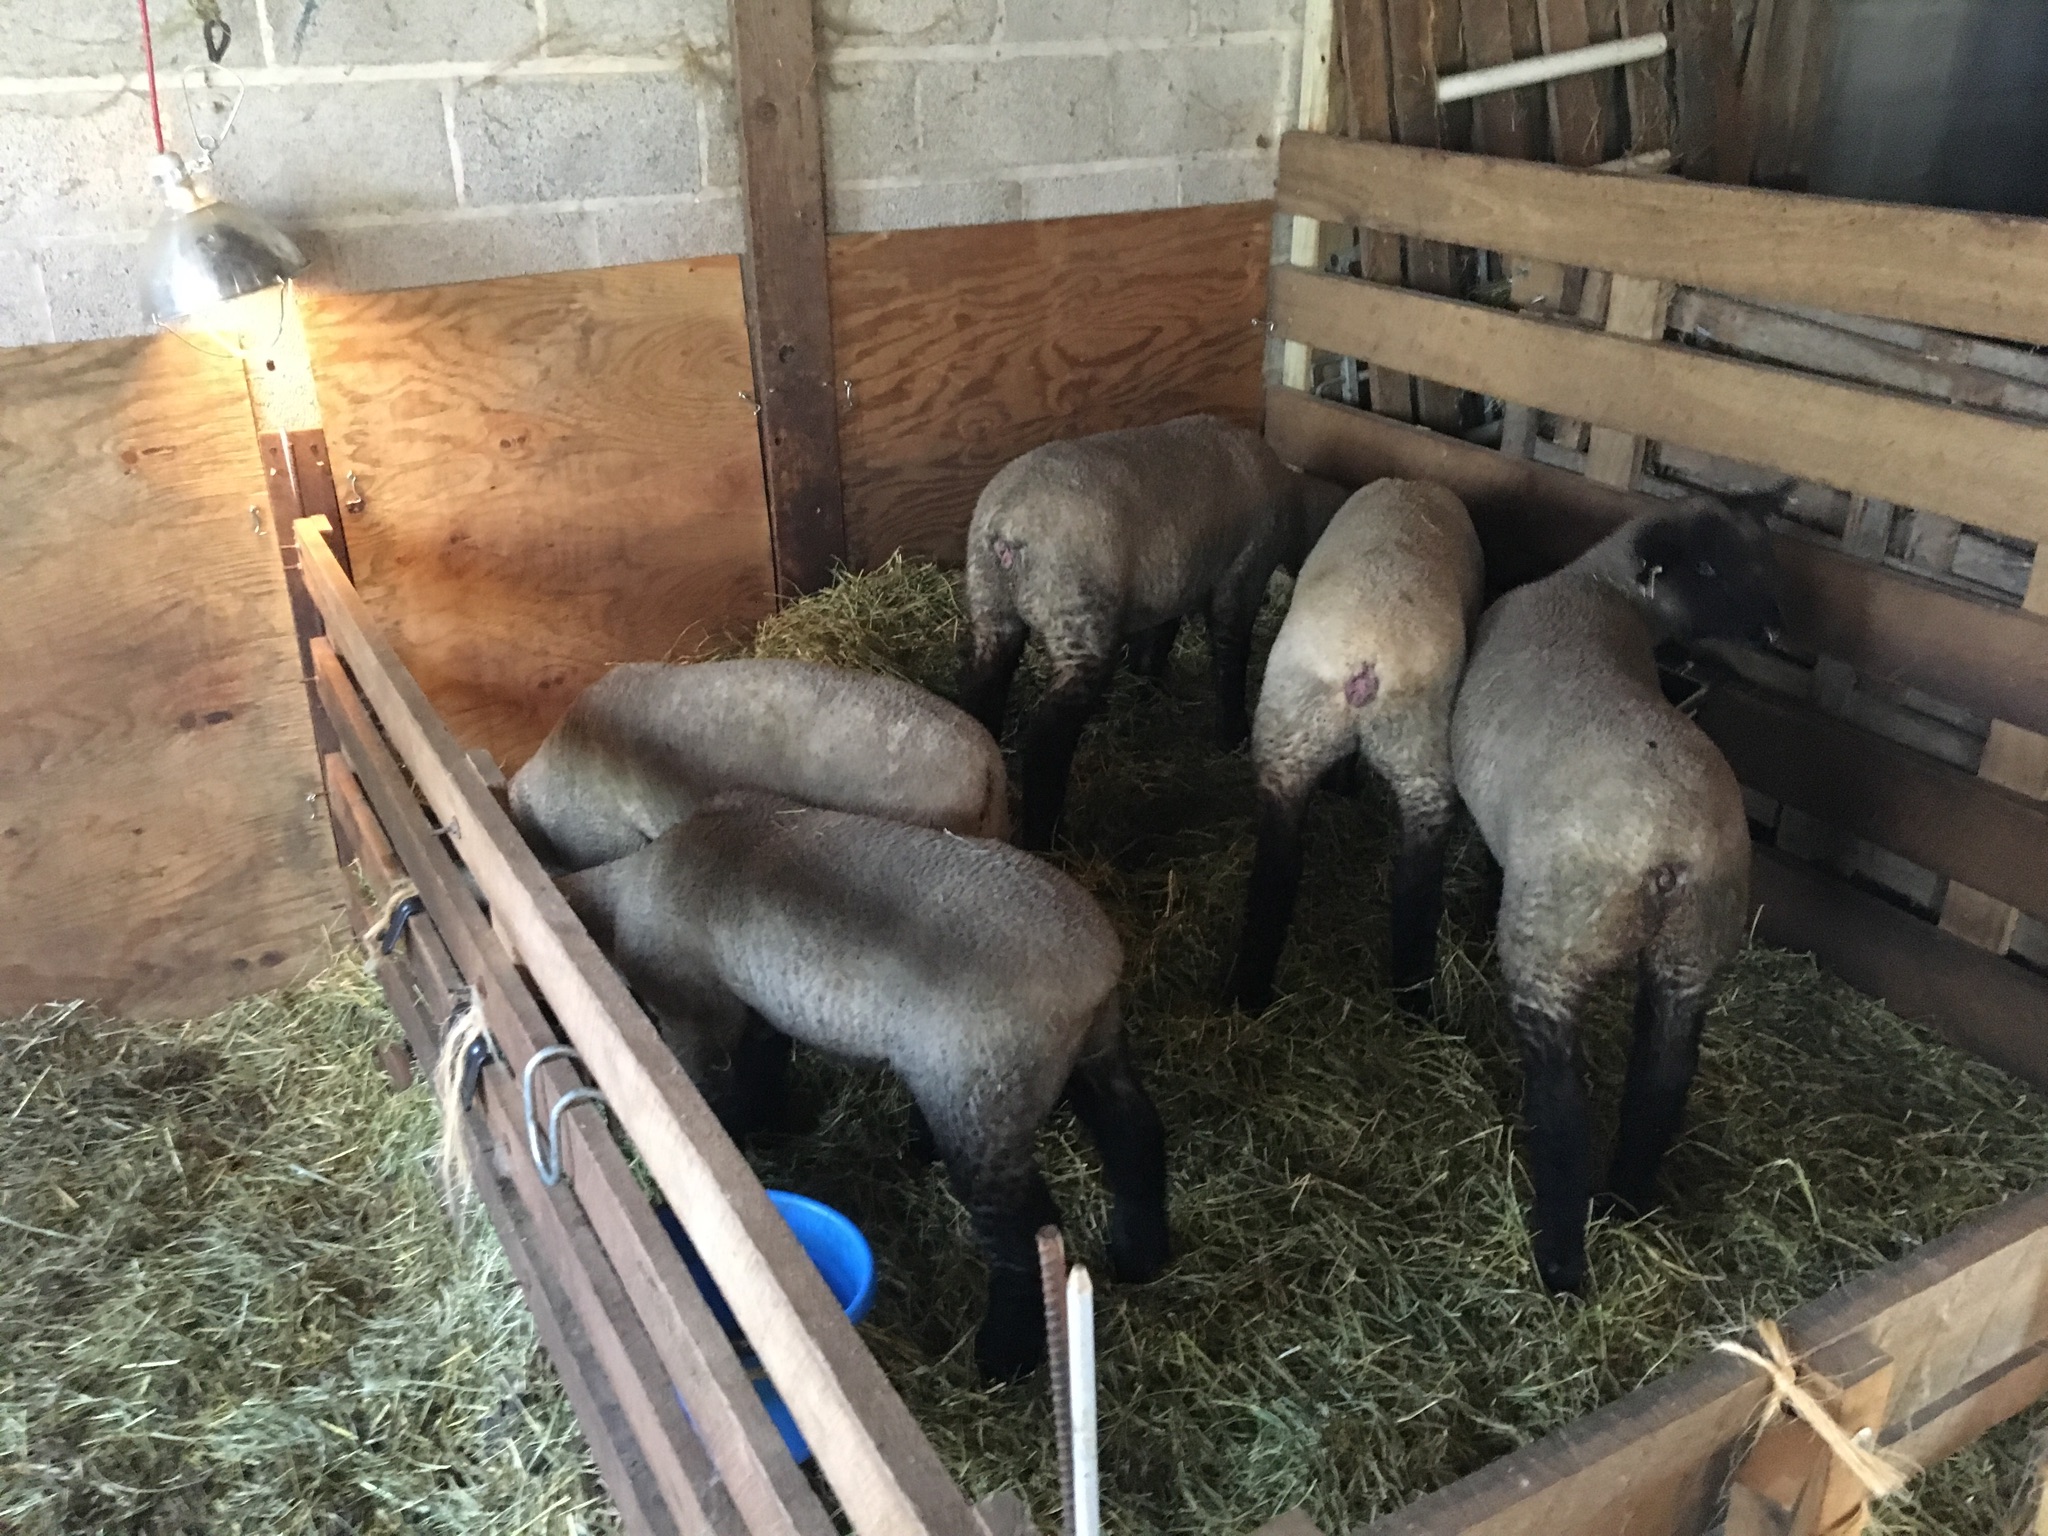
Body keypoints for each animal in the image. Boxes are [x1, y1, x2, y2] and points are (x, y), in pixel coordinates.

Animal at [557, 794, 1171, 1384]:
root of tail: (1095, 963)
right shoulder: (757, 1003)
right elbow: (762, 1064)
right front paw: (769, 1120)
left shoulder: (697, 1017)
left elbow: (709, 1092)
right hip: (1090, 1047)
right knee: (1134, 1131)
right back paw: (1139, 1253)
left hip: (976, 1086)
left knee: (1024, 1226)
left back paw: (1007, 1352)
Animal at [962, 421, 1359, 847]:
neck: (1294, 501)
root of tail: (1005, 528)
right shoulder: (1241, 576)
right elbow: (1231, 654)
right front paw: (1233, 733)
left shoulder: (1173, 581)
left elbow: (1160, 637)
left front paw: (1148, 685)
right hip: (1078, 622)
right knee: (1047, 738)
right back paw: (1045, 833)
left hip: (991, 606)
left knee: (982, 687)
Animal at [1220, 475, 1482, 1015]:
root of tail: (1365, 660)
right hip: (1417, 755)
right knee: (1415, 881)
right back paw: (1414, 1000)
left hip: (1292, 741)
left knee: (1280, 869)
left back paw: (1249, 993)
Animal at [1458, 501, 1777, 1302]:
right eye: (1714, 565)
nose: (1775, 631)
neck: (1599, 590)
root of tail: (1672, 853)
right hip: (1692, 951)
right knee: (1663, 1074)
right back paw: (1628, 1201)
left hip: (1552, 941)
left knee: (1562, 1110)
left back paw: (1562, 1262)